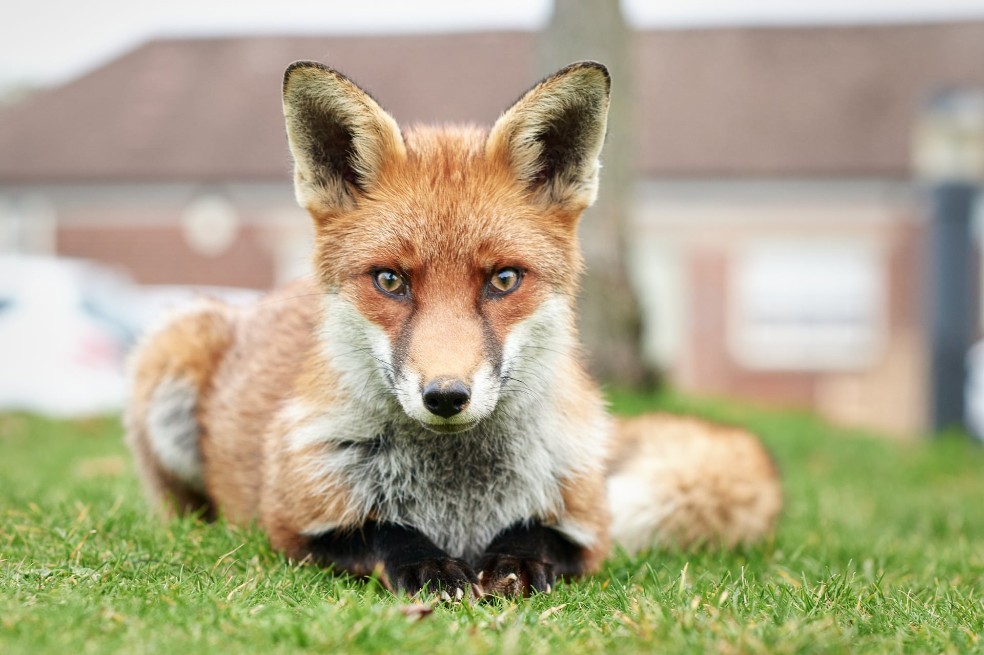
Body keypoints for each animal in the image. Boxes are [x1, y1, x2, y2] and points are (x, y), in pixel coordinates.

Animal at [125, 60, 784, 600]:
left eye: (503, 279)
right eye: (390, 280)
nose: (445, 395)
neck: (455, 498)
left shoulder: (590, 526)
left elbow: (535, 534)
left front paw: (512, 563)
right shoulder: (293, 523)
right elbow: (385, 532)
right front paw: (430, 567)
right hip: (171, 354)